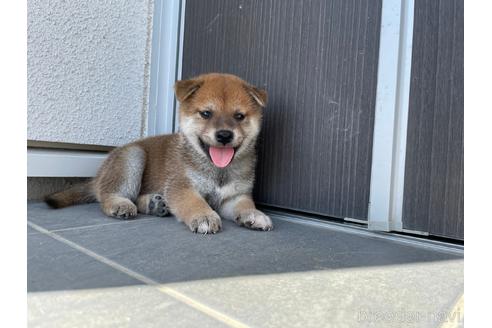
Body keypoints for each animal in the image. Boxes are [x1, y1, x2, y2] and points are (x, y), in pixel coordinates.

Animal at [45, 73, 272, 234]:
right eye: (206, 113)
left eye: (239, 116)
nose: (224, 135)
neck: (218, 171)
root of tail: (99, 176)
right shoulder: (181, 187)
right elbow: (195, 202)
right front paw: (204, 216)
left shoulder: (234, 196)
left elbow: (245, 205)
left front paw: (254, 214)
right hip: (133, 156)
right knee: (108, 197)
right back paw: (121, 204)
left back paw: (154, 204)